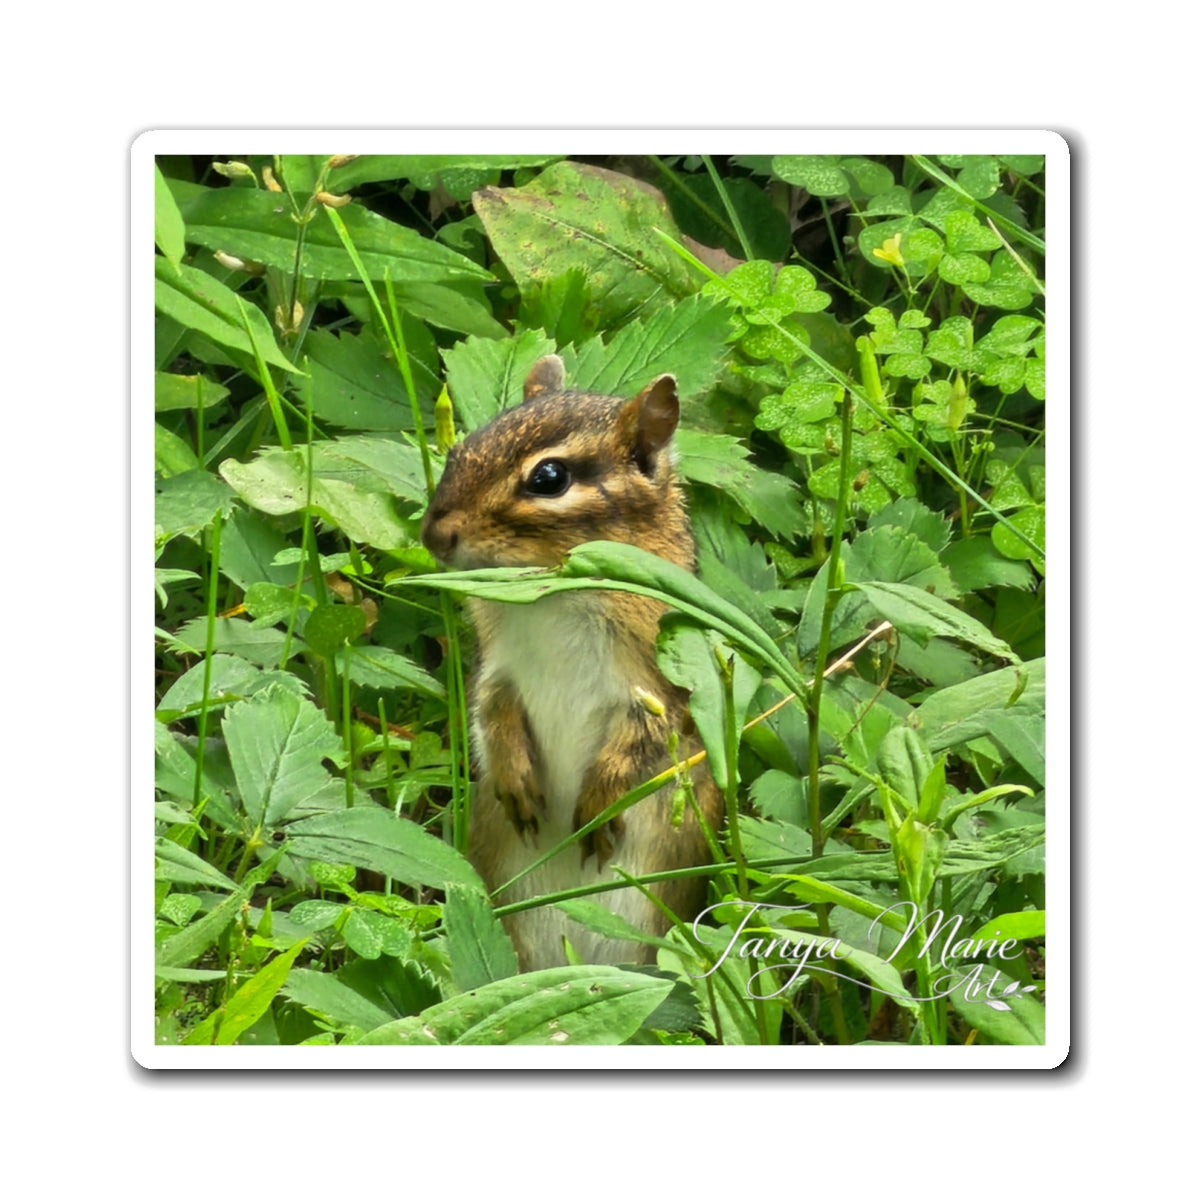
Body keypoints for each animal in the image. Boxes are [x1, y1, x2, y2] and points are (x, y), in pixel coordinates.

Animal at [421, 355, 722, 971]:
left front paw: (599, 807)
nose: (433, 534)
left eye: (549, 479)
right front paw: (514, 779)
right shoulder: (497, 668)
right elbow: (490, 713)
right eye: (461, 448)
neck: (550, 598)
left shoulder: (658, 686)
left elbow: (641, 743)